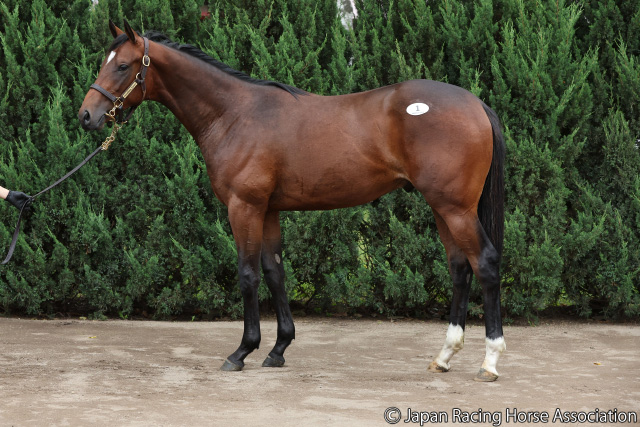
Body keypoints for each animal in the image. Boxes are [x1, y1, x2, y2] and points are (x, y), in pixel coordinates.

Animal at [79, 21, 506, 382]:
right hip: (443, 208)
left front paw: (242, 351)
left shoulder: (244, 207)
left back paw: (490, 361)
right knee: (460, 268)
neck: (234, 114)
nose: (86, 116)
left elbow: (248, 274)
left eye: (123, 66)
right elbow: (274, 272)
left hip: (455, 208)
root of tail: (476, 104)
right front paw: (278, 348)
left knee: (484, 263)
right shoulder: (268, 210)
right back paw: (444, 357)